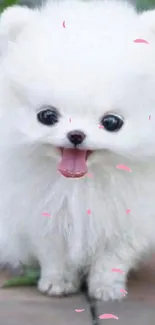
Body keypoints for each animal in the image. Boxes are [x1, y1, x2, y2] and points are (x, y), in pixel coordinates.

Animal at [0, 0, 155, 300]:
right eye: (47, 116)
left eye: (111, 122)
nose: (76, 135)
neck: (81, 185)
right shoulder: (41, 218)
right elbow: (54, 255)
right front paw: (57, 283)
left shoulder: (128, 222)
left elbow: (112, 259)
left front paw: (107, 289)